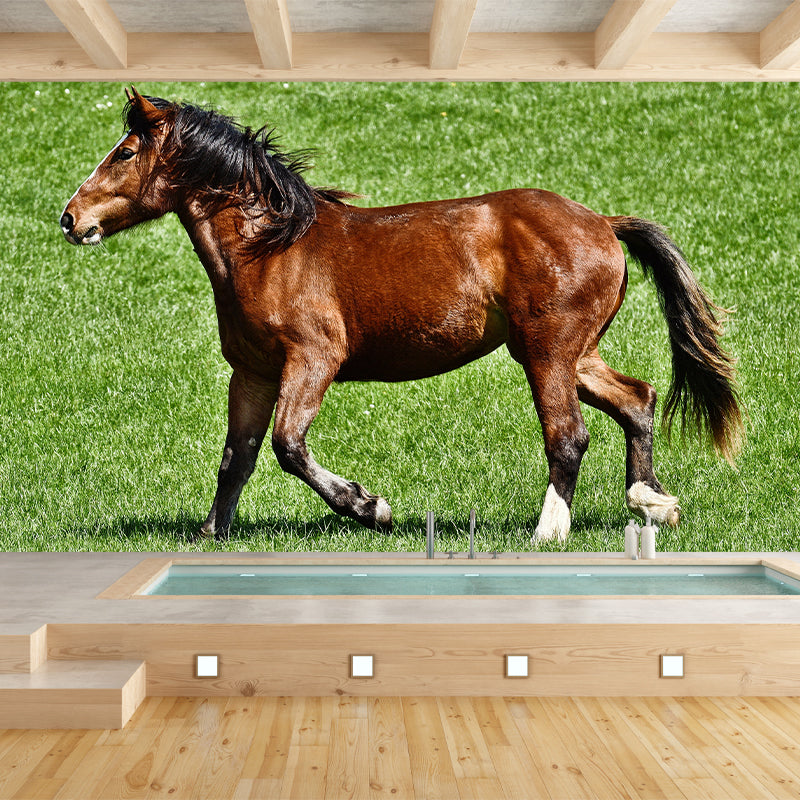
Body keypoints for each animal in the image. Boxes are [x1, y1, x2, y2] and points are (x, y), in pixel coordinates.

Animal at [59, 88, 742, 544]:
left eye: (124, 153)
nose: (70, 219)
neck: (270, 248)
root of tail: (602, 222)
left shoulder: (313, 360)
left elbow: (288, 446)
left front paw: (371, 507)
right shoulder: (251, 373)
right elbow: (238, 457)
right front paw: (209, 534)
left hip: (547, 352)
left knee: (569, 436)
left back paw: (549, 531)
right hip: (571, 352)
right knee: (638, 400)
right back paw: (652, 503)